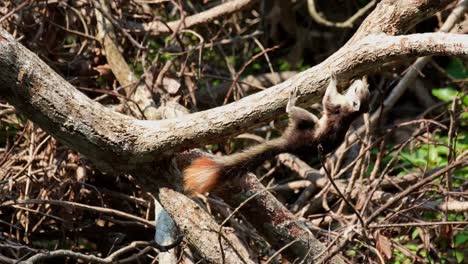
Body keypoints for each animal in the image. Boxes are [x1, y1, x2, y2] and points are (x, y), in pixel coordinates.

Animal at [183, 72, 370, 194]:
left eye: (356, 92)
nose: (358, 81)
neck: (350, 111)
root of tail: (289, 145)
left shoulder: (335, 107)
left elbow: (327, 100)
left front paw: (333, 79)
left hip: (306, 124)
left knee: (297, 113)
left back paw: (291, 103)